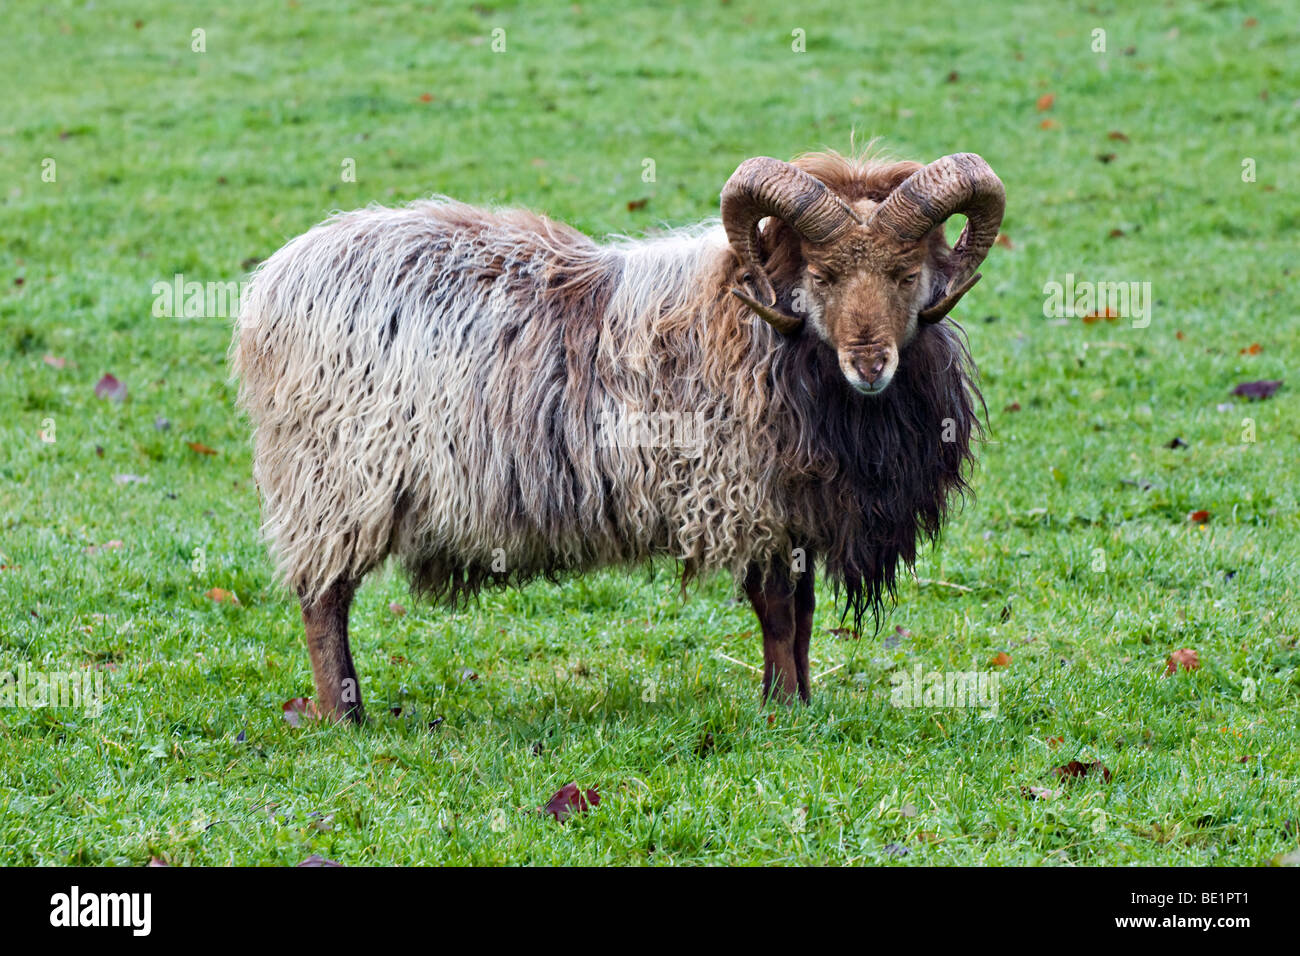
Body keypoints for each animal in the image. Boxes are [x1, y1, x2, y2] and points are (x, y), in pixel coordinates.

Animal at [233, 149, 1003, 723]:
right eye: (822, 274)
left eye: (906, 274)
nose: (870, 364)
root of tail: (275, 279)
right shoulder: (742, 498)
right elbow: (778, 613)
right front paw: (783, 708)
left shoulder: (792, 510)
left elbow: (803, 613)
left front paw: (799, 698)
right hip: (334, 483)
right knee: (323, 602)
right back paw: (345, 715)